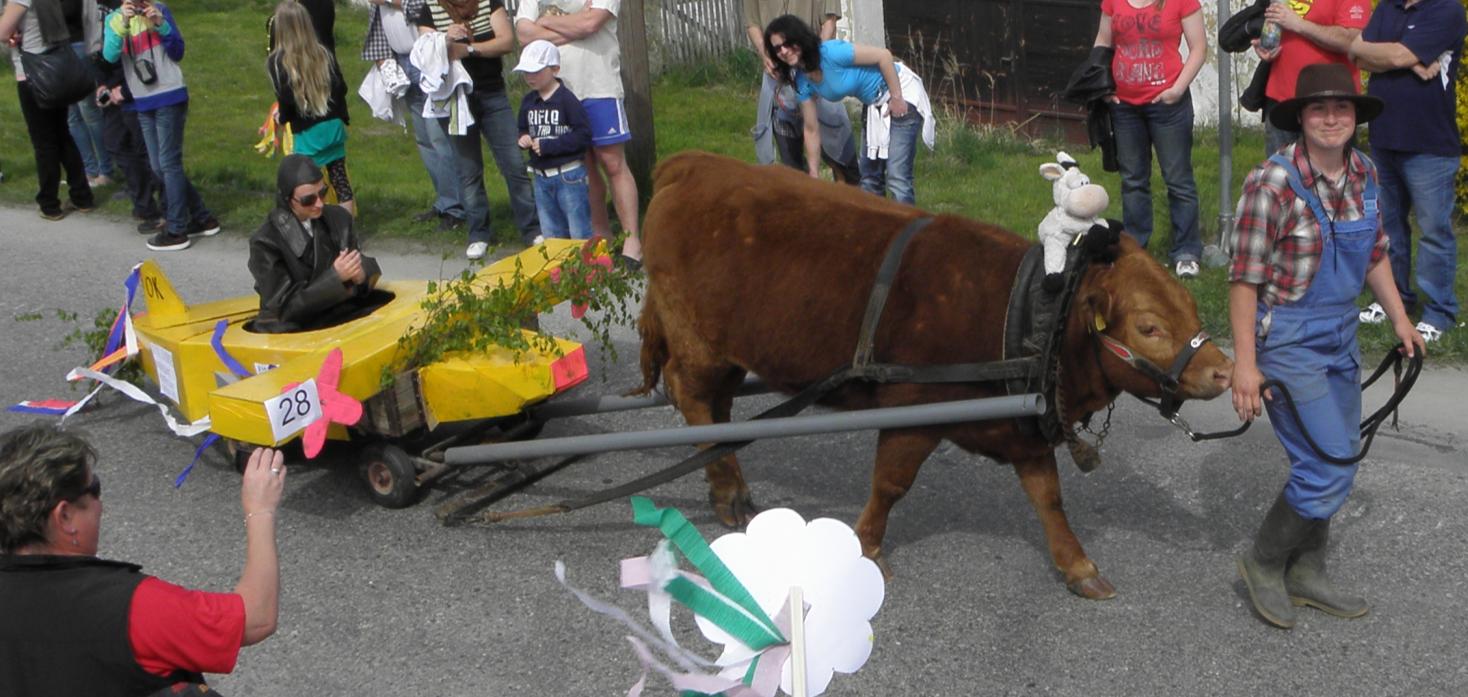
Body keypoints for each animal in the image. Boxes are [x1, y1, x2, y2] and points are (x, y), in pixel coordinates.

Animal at [637, 152, 1233, 601]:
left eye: (1190, 307)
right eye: (1149, 326)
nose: (1224, 370)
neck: (1027, 311)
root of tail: (693, 162)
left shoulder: (1022, 428)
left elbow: (1048, 498)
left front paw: (1079, 566)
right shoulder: (913, 412)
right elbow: (889, 484)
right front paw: (866, 549)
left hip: (731, 354)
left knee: (718, 413)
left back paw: (728, 486)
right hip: (697, 343)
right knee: (693, 398)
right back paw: (729, 491)